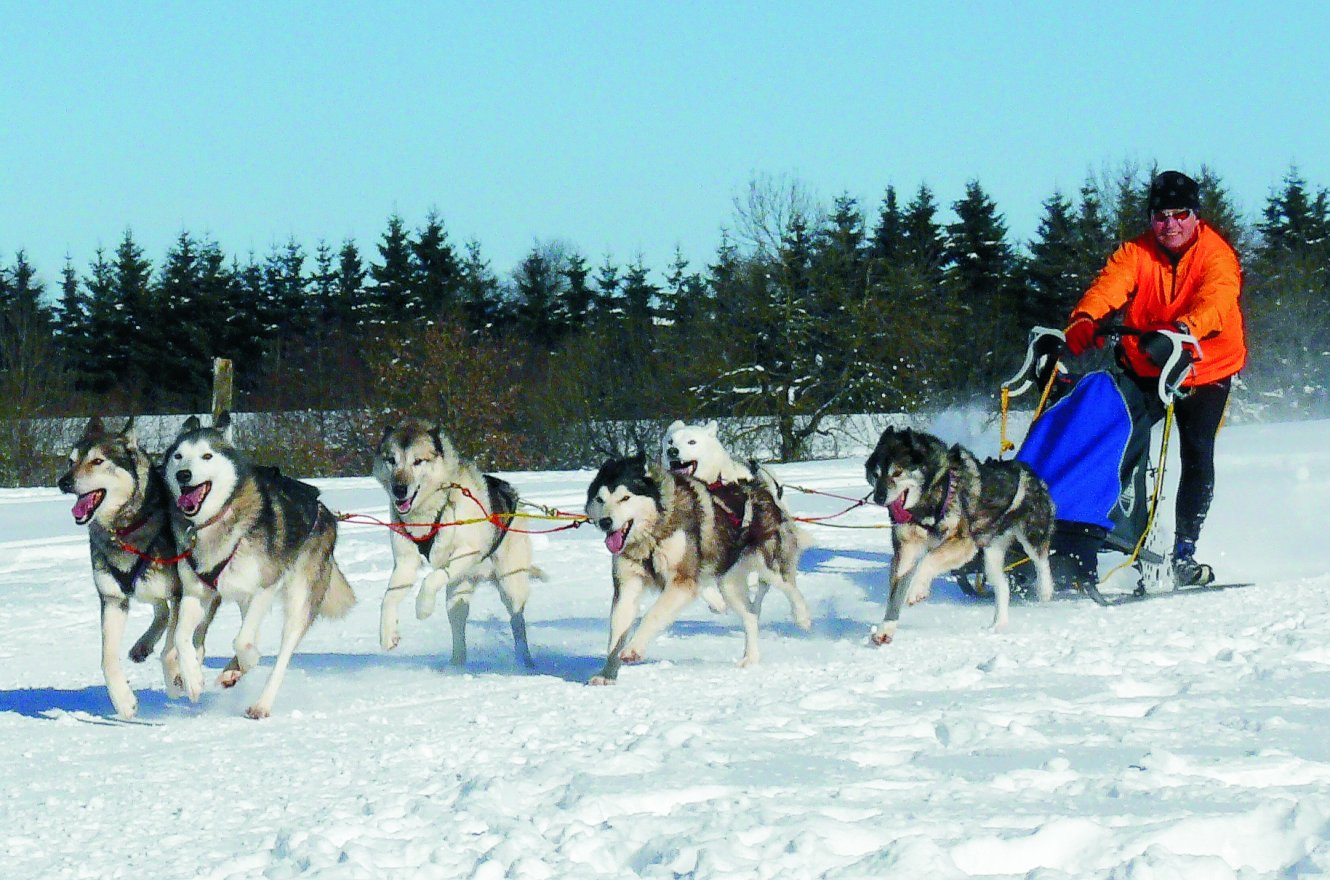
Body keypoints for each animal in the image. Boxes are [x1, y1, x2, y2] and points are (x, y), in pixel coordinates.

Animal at [57, 420, 218, 717]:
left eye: (97, 461)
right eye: (71, 461)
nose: (64, 482)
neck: (125, 528)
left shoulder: (180, 593)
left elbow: (172, 648)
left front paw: (177, 680)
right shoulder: (112, 599)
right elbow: (107, 659)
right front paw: (123, 701)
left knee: (194, 636)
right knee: (161, 612)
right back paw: (143, 645)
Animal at [162, 414, 353, 717]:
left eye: (207, 455)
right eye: (179, 456)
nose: (183, 475)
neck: (215, 521)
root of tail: (324, 510)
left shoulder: (265, 587)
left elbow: (243, 643)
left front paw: (248, 660)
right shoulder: (196, 592)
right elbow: (182, 637)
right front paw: (192, 678)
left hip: (298, 599)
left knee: (281, 651)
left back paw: (261, 702)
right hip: (243, 599)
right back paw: (231, 672)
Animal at [372, 420, 537, 669]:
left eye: (417, 461)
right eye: (391, 460)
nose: (399, 489)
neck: (430, 510)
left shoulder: (467, 552)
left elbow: (431, 579)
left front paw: (422, 608)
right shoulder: (405, 563)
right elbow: (388, 598)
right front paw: (387, 634)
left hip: (510, 584)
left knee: (517, 622)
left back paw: (524, 661)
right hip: (457, 595)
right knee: (458, 624)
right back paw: (455, 664)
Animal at [585, 457, 808, 685]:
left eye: (625, 498)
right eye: (600, 499)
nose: (605, 522)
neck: (653, 532)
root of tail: (757, 487)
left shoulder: (681, 581)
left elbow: (653, 615)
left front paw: (633, 649)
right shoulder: (628, 585)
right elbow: (616, 632)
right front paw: (607, 674)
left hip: (767, 564)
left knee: (790, 586)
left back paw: (802, 617)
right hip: (729, 585)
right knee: (751, 616)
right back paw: (750, 657)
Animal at [867, 428, 1053, 646]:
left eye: (897, 472)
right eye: (876, 474)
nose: (878, 497)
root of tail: (1031, 473)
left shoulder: (963, 543)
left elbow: (928, 560)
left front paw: (916, 590)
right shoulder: (906, 550)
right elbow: (896, 592)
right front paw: (886, 628)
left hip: (1031, 534)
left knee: (1042, 560)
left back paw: (1045, 590)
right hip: (990, 556)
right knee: (1003, 586)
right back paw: (998, 625)